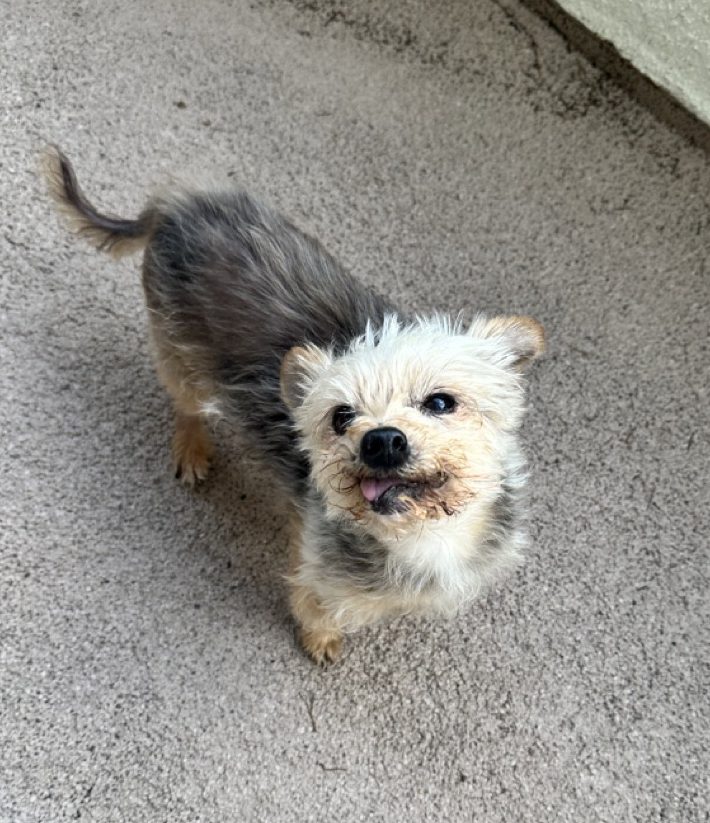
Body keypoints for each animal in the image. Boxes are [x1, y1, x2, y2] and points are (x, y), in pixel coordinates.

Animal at [43, 146, 544, 664]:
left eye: (441, 401)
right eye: (341, 416)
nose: (381, 441)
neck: (422, 536)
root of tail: (179, 202)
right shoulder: (316, 575)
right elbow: (314, 610)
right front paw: (321, 640)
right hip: (180, 357)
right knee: (187, 406)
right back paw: (191, 448)